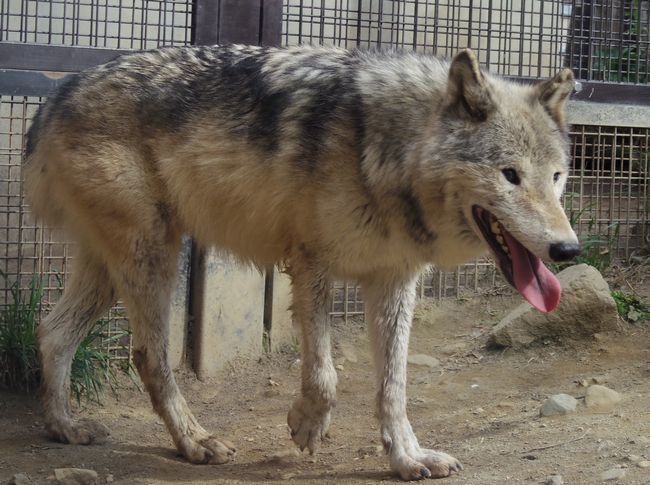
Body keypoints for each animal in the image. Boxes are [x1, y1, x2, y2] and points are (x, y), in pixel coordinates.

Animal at [24, 43, 576, 478]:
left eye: (555, 177)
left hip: (112, 270)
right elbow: (325, 376)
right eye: (510, 175)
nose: (568, 249)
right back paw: (195, 443)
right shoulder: (312, 264)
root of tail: (60, 93)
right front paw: (306, 426)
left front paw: (407, 458)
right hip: (154, 257)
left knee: (52, 332)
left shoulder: (394, 281)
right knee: (148, 356)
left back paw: (64, 427)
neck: (384, 150)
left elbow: (393, 385)